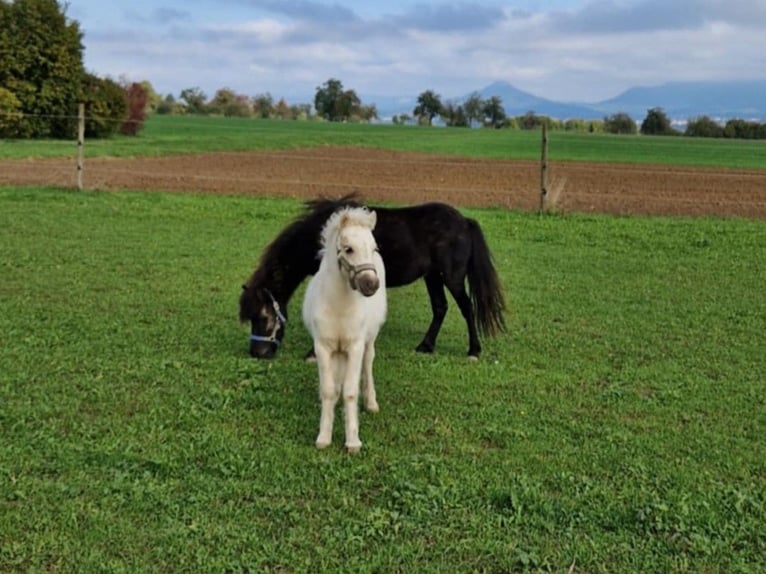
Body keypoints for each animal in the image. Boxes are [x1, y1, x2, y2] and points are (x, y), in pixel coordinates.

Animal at [239, 195, 505, 360]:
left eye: (263, 316)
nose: (257, 353)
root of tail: (464, 221)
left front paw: (313, 353)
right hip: (433, 277)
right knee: (441, 308)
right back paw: (425, 346)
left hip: (452, 277)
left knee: (467, 308)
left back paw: (473, 350)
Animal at [302, 206, 386, 452]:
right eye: (348, 249)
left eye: (374, 247)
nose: (371, 285)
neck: (339, 306)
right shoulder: (323, 347)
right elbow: (329, 390)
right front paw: (324, 437)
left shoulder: (355, 347)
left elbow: (350, 391)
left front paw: (353, 441)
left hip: (369, 340)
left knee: (368, 363)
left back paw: (371, 402)